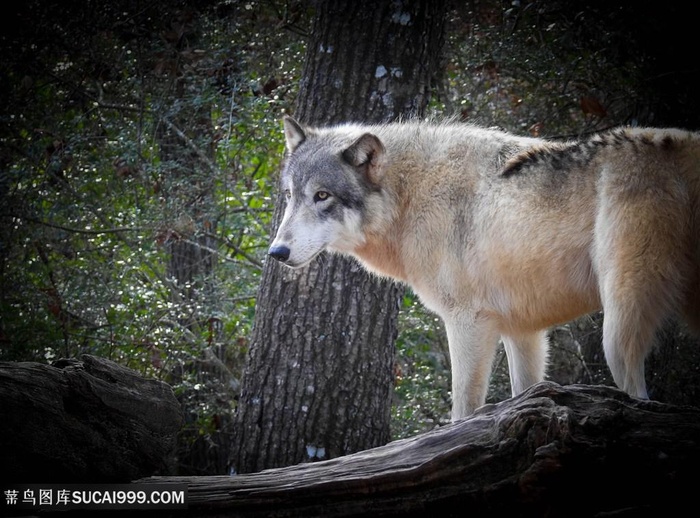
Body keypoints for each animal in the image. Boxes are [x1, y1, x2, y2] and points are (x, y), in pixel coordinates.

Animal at [266, 116, 700, 420]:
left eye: (322, 196)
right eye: (290, 196)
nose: (276, 252)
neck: (410, 197)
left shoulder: (467, 322)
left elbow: (462, 414)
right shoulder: (524, 331)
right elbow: (524, 395)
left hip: (617, 331)